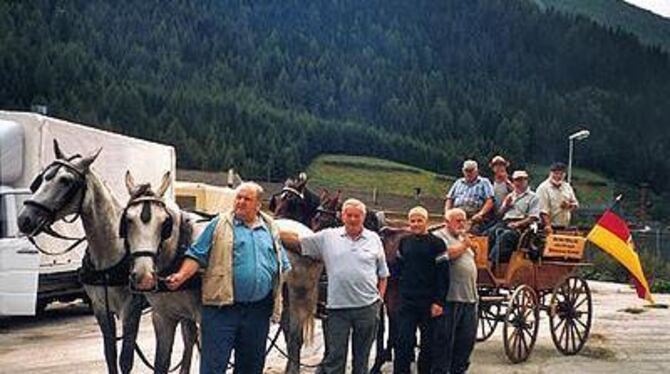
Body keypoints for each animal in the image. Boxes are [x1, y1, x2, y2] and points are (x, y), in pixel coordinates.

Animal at [17, 140, 144, 374]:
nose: (24, 219)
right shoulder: (101, 309)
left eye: (66, 180)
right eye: (42, 178)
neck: (111, 251)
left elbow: (126, 360)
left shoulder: (132, 309)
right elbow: (110, 355)